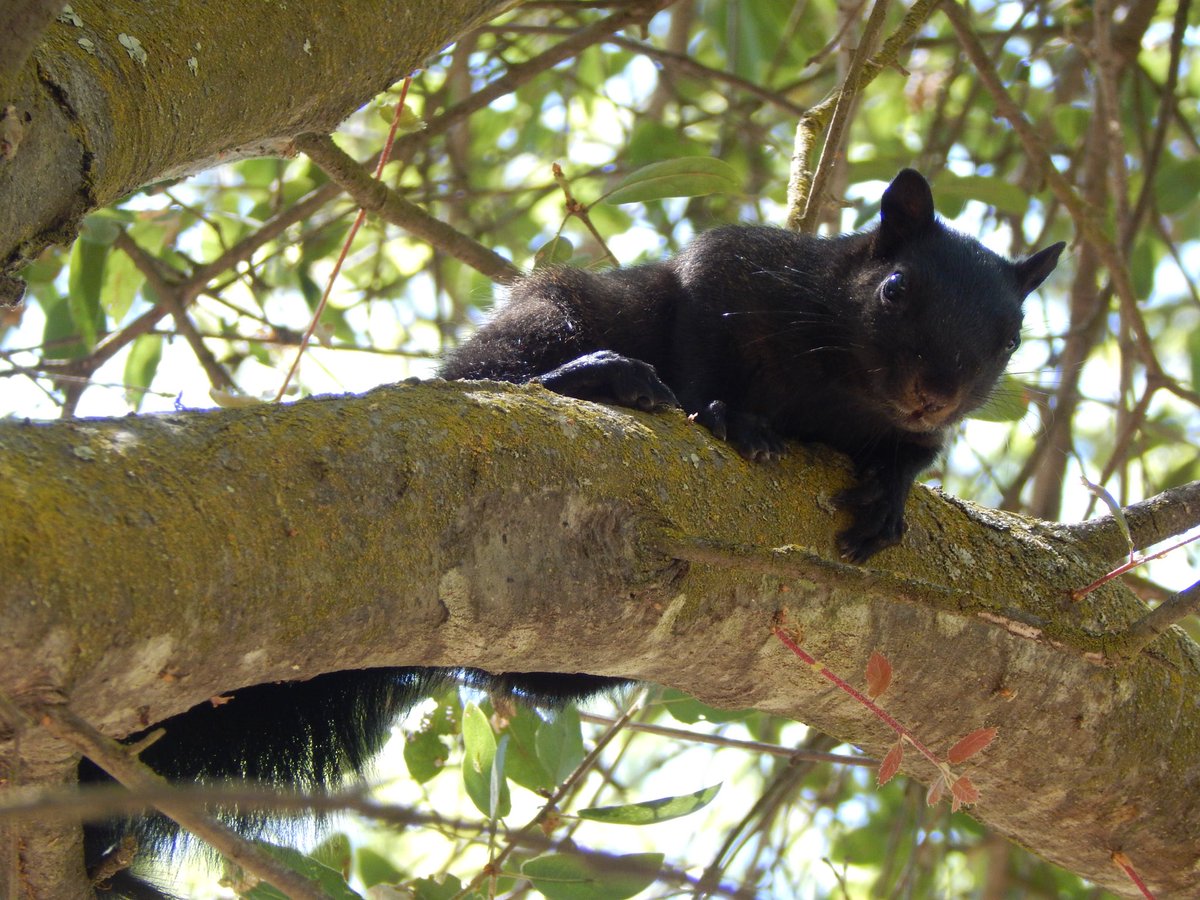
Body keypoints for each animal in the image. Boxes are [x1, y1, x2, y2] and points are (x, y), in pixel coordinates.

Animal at [81, 169, 1064, 896]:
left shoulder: (909, 430)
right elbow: (703, 343)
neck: (840, 389)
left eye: (1012, 338)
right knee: (498, 375)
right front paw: (729, 417)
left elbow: (911, 459)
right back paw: (594, 378)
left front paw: (891, 493)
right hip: (553, 310)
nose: (936, 390)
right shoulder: (731, 274)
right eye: (895, 290)